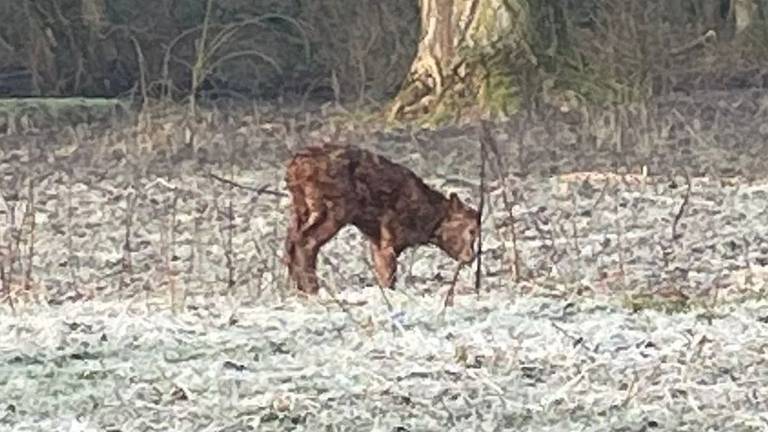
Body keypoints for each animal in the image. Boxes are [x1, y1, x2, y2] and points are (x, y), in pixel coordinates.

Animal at [282, 144, 480, 294]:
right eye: (471, 231)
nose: (470, 257)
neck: (428, 220)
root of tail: (295, 168)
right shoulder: (389, 241)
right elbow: (389, 278)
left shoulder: (377, 242)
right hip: (333, 211)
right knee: (306, 243)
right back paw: (311, 288)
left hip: (300, 211)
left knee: (290, 243)